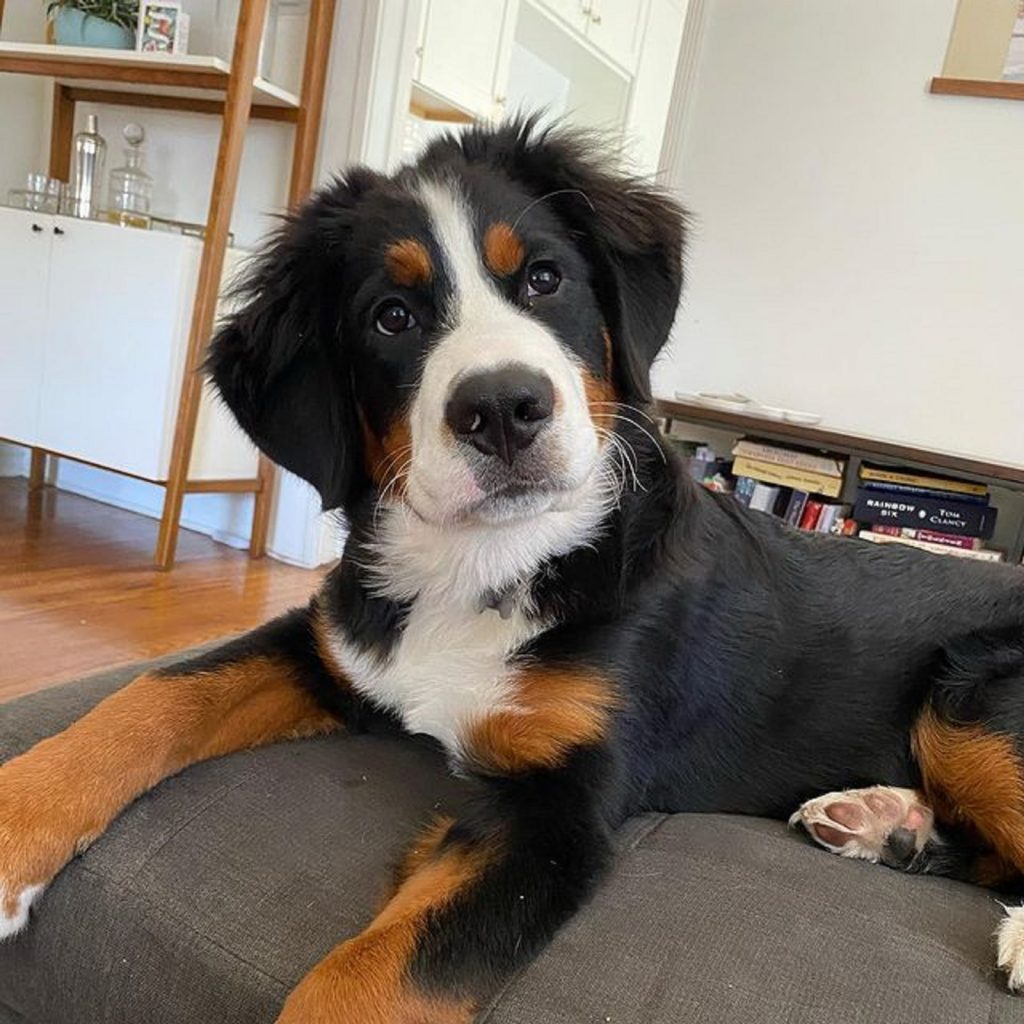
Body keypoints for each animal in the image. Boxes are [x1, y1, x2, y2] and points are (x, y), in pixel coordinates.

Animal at [2, 119, 1024, 1015]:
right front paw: (14, 828)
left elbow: (367, 980)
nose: (502, 407)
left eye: (544, 277)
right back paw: (884, 821)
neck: (484, 563)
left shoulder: (565, 812)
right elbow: (156, 695)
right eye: (391, 316)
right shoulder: (332, 648)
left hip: (972, 696)